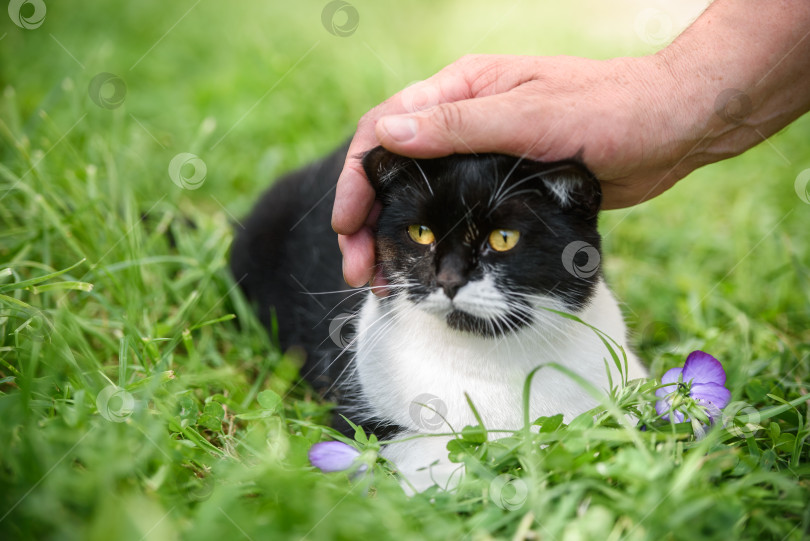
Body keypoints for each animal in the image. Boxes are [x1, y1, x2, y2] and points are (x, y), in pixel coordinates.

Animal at [230, 142, 648, 490]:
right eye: (421, 232)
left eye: (504, 238)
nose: (448, 279)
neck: (490, 361)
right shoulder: (366, 414)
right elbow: (409, 448)